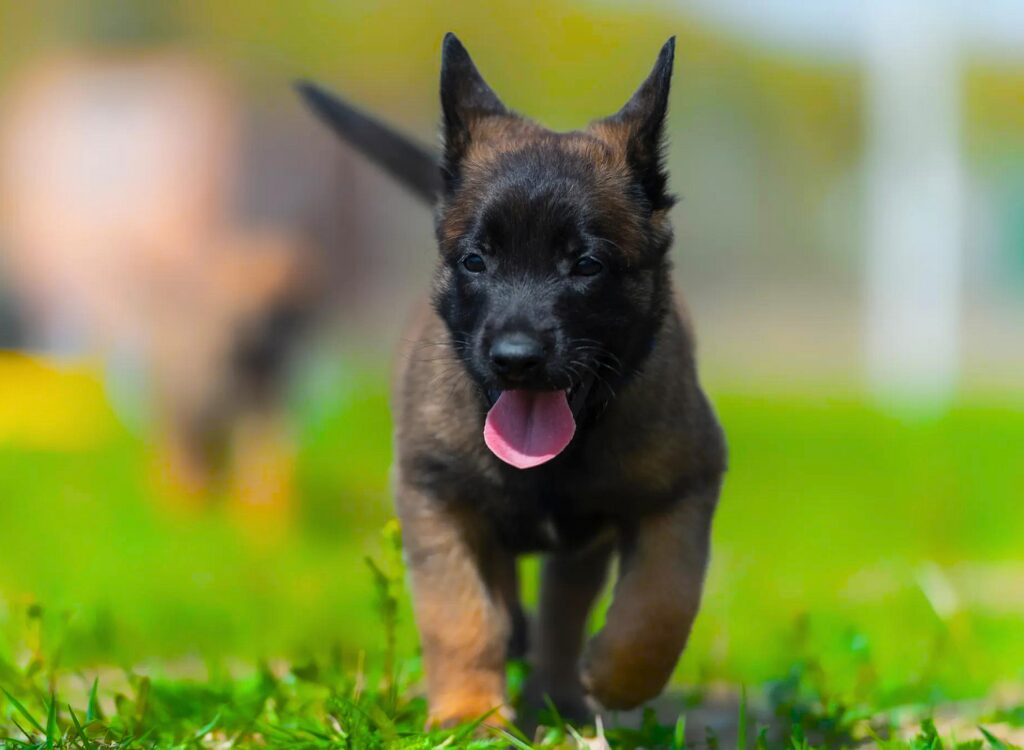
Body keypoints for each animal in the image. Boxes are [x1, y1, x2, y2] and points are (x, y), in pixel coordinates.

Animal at [299, 35, 724, 725]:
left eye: (586, 265)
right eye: (476, 261)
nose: (516, 358)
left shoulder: (684, 488)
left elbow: (664, 601)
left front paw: (618, 676)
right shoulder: (436, 500)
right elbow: (461, 617)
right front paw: (470, 714)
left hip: (583, 546)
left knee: (563, 612)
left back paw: (560, 695)